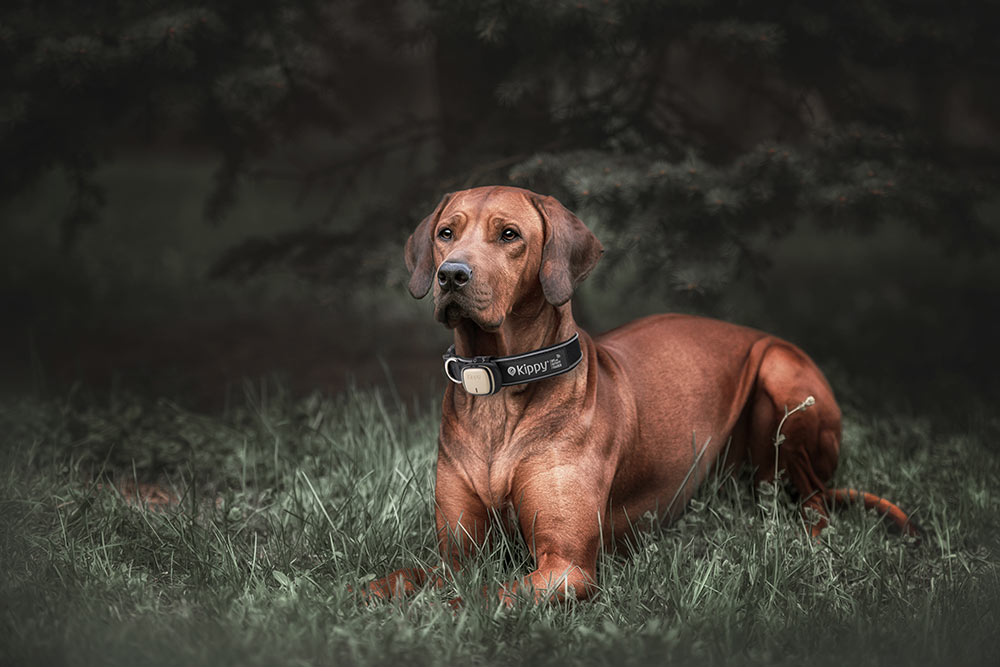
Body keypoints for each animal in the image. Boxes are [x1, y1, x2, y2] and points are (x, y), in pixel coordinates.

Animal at [370, 185, 920, 604]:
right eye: (446, 233)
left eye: (510, 235)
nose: (451, 274)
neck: (499, 387)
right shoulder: (458, 553)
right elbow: (394, 579)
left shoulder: (566, 565)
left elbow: (476, 597)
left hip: (781, 374)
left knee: (816, 503)